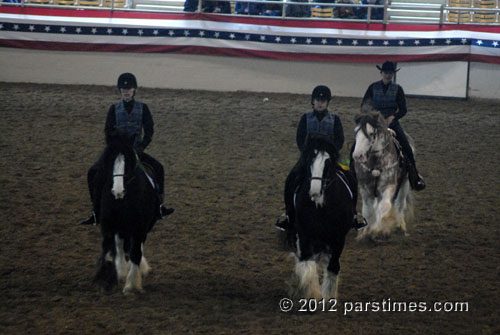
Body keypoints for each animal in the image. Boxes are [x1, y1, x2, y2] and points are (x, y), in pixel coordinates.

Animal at [92, 134, 158, 294]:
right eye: (110, 160)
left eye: (128, 161)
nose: (118, 191)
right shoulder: (109, 225)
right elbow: (111, 247)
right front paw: (106, 278)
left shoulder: (140, 228)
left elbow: (135, 252)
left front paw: (132, 285)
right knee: (120, 244)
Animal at [286, 137, 356, 302]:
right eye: (308, 160)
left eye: (328, 163)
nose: (315, 191)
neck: (321, 207)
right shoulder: (304, 235)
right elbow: (306, 264)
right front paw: (310, 294)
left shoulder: (339, 238)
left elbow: (333, 267)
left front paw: (329, 297)